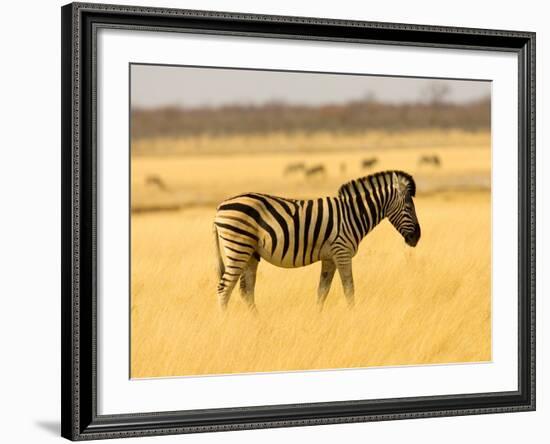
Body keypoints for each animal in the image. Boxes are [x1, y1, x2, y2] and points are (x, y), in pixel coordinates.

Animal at [213, 170, 420, 312]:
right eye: (409, 207)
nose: (417, 237)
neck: (353, 214)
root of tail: (220, 206)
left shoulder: (329, 257)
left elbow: (322, 291)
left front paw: (318, 318)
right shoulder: (342, 252)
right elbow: (349, 289)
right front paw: (353, 316)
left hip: (250, 252)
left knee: (245, 290)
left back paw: (257, 323)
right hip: (238, 247)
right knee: (224, 288)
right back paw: (225, 323)